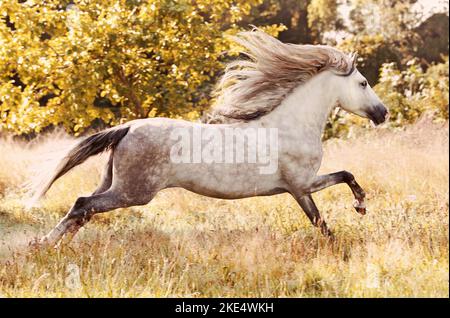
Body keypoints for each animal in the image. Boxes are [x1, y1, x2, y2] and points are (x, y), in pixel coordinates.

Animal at [33, 29, 388, 246]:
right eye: (363, 83)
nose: (382, 113)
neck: (291, 125)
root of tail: (129, 128)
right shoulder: (301, 185)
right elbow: (328, 207)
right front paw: (357, 212)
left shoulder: (299, 186)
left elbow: (335, 194)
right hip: (133, 192)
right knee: (82, 205)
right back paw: (44, 246)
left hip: (113, 184)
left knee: (83, 209)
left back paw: (50, 245)